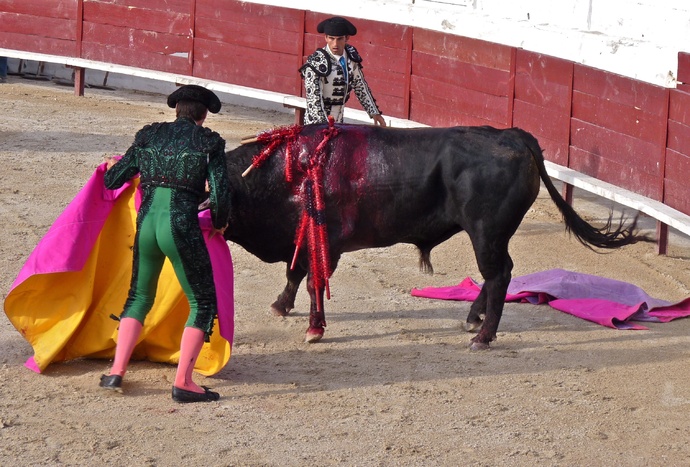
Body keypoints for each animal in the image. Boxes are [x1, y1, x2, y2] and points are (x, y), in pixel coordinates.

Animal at [222, 122, 650, 350]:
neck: (282, 171)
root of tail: (513, 135)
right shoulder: (302, 237)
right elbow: (295, 273)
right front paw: (281, 305)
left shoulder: (324, 239)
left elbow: (313, 280)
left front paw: (314, 329)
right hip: (493, 234)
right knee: (500, 271)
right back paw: (474, 320)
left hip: (485, 230)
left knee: (498, 274)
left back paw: (484, 336)